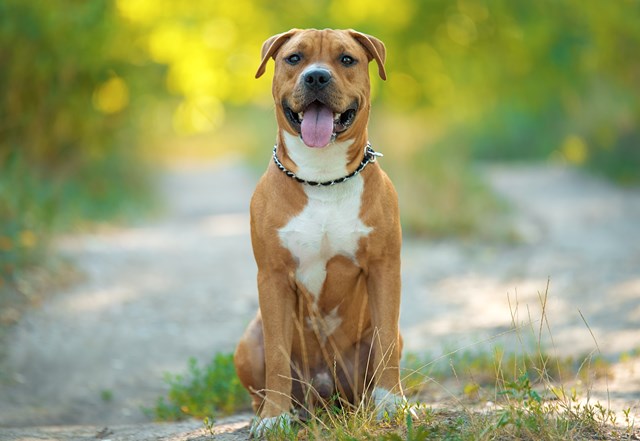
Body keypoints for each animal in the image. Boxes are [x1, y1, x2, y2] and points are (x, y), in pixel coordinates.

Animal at [234, 29, 404, 434]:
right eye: (295, 58)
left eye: (346, 59)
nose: (316, 77)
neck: (323, 177)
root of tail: (325, 392)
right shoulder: (273, 277)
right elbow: (278, 357)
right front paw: (273, 418)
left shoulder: (385, 268)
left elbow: (387, 344)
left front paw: (392, 404)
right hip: (247, 343)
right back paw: (276, 412)